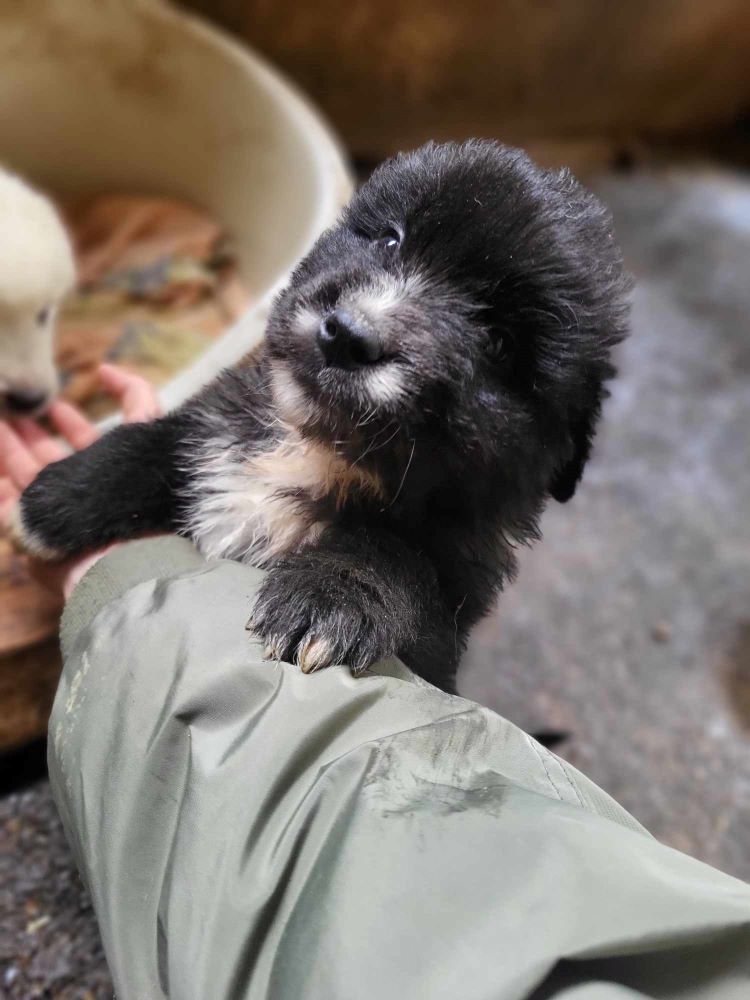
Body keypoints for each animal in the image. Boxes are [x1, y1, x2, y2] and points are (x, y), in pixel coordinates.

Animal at [14, 141, 632, 692]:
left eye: (500, 343)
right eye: (390, 238)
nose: (350, 335)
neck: (317, 454)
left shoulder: (447, 597)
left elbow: (390, 552)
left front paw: (329, 596)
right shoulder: (219, 420)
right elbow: (154, 444)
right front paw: (55, 498)